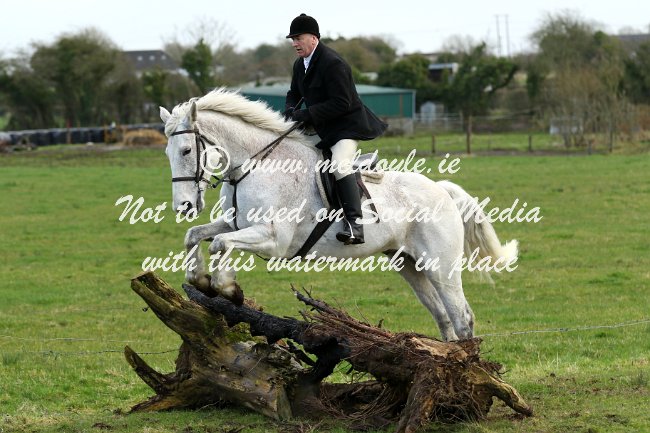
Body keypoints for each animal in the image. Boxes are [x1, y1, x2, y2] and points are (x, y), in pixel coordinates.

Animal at [159, 88, 518, 341]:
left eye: (187, 150)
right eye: (167, 152)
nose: (184, 207)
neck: (255, 164)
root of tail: (442, 190)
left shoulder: (274, 239)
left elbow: (221, 244)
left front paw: (227, 288)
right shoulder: (235, 223)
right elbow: (196, 235)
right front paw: (199, 279)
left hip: (440, 266)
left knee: (461, 317)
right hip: (408, 263)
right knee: (443, 317)